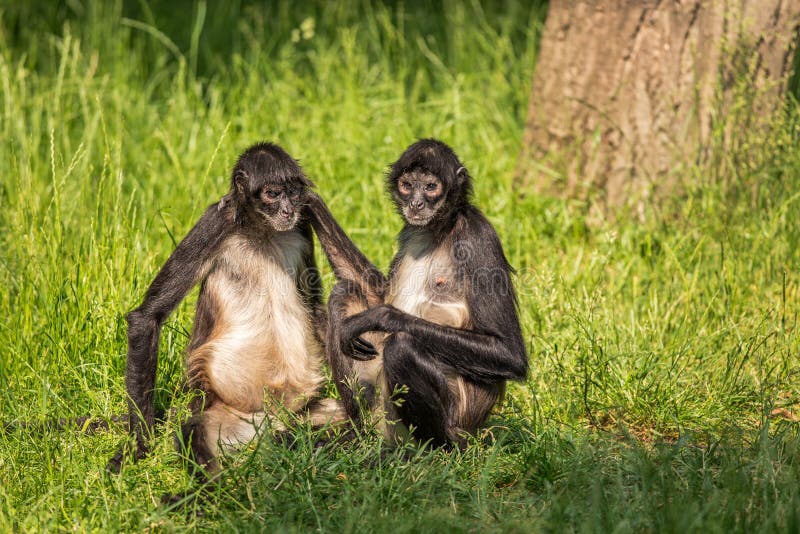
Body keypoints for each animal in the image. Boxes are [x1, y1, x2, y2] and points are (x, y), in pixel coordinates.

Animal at [107, 142, 344, 478]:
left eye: (293, 192)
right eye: (273, 194)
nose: (288, 210)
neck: (263, 231)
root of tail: (271, 420)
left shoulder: (300, 227)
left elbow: (314, 308)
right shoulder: (215, 222)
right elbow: (147, 316)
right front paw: (138, 446)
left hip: (302, 415)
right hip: (225, 416)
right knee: (193, 430)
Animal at [308, 138, 532, 448]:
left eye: (430, 187)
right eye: (407, 185)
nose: (416, 202)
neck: (438, 231)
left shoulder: (477, 235)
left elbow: (509, 353)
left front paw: (380, 316)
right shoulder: (410, 232)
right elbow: (375, 292)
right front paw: (310, 202)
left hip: (454, 422)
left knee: (401, 346)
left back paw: (437, 450)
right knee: (344, 292)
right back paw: (360, 437)